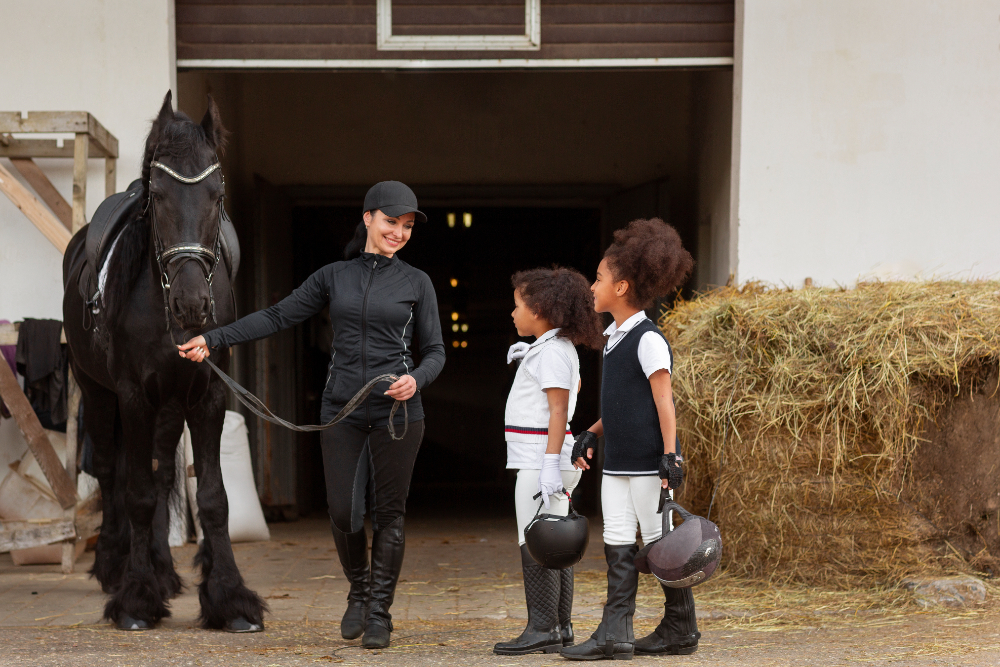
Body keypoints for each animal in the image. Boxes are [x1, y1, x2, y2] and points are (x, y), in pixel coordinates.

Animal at [62, 92, 266, 632]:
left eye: (217, 195)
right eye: (159, 196)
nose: (192, 304)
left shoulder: (206, 394)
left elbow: (212, 498)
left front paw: (229, 598)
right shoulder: (133, 396)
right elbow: (135, 493)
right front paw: (135, 599)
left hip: (169, 405)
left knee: (159, 472)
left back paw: (162, 570)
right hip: (97, 392)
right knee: (111, 472)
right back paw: (115, 566)